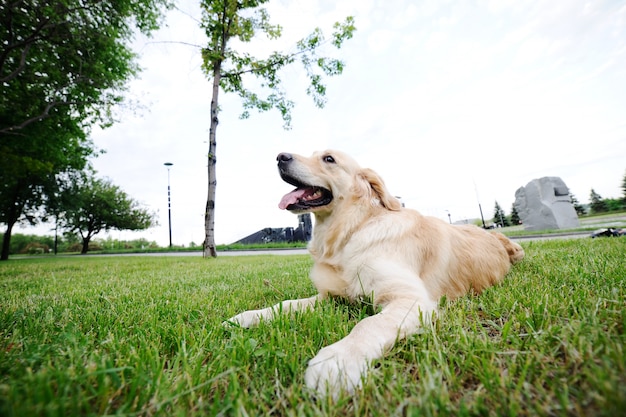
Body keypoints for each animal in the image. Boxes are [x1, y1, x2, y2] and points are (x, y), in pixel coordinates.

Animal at [224, 149, 520, 396]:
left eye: (329, 159)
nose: (280, 156)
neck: (351, 231)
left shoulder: (410, 299)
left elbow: (367, 325)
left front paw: (337, 361)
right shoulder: (329, 297)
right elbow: (285, 304)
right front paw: (248, 317)